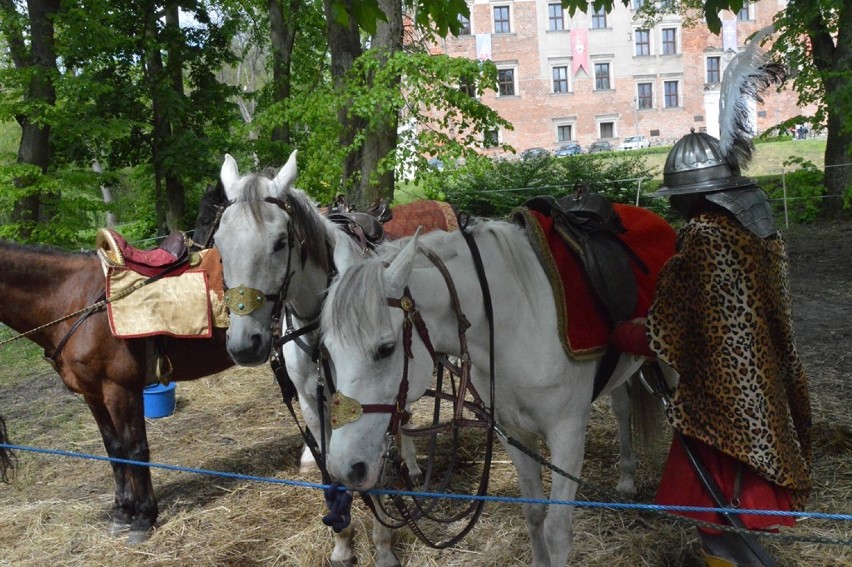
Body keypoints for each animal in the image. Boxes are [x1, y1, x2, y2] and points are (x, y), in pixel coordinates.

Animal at [0, 232, 233, 544]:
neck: (71, 300)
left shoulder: (120, 390)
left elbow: (135, 449)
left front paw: (144, 517)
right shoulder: (93, 395)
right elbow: (115, 450)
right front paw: (123, 512)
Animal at [322, 220, 660, 564]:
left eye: (385, 349)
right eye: (328, 350)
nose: (344, 467)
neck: (519, 322)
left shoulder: (567, 435)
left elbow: (557, 532)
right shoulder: (513, 433)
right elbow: (534, 514)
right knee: (622, 408)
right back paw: (626, 478)